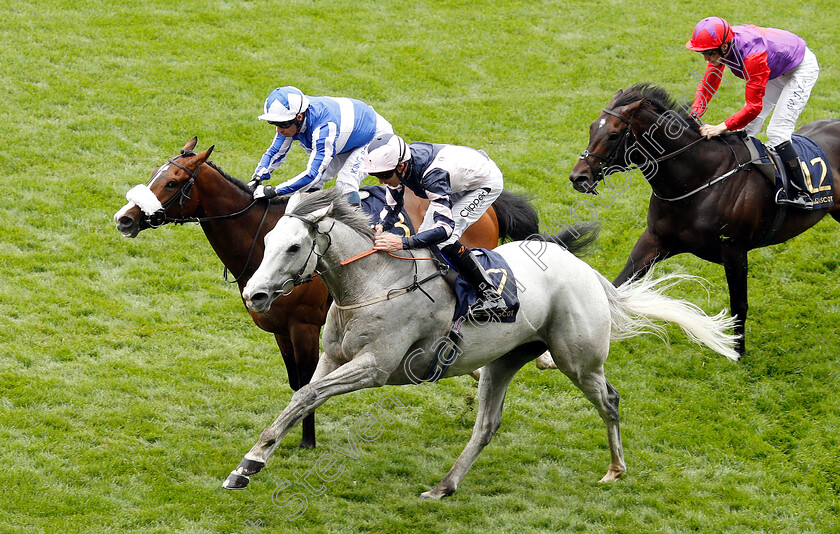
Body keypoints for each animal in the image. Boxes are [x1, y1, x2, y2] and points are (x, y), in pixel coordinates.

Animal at [111, 139, 540, 452]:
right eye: (154, 174)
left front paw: (306, 441)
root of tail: (494, 205)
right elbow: (295, 383)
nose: (124, 219)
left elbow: (306, 384)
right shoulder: (280, 329)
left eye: (171, 182)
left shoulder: (303, 326)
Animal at [225, 188, 736, 498]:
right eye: (267, 240)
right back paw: (444, 486)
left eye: (294, 247)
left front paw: (249, 463)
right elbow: (301, 397)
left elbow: (306, 396)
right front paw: (254, 460)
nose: (256, 294)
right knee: (487, 425)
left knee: (608, 400)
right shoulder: (333, 357)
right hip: (502, 361)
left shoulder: (374, 367)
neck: (373, 283)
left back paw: (615, 469)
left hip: (579, 359)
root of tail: (587, 272)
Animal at [568, 84, 836, 358]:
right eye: (592, 127)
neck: (698, 180)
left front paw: (737, 353)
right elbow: (616, 286)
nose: (578, 177)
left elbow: (739, 303)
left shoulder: (734, 250)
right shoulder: (655, 240)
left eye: (613, 135)